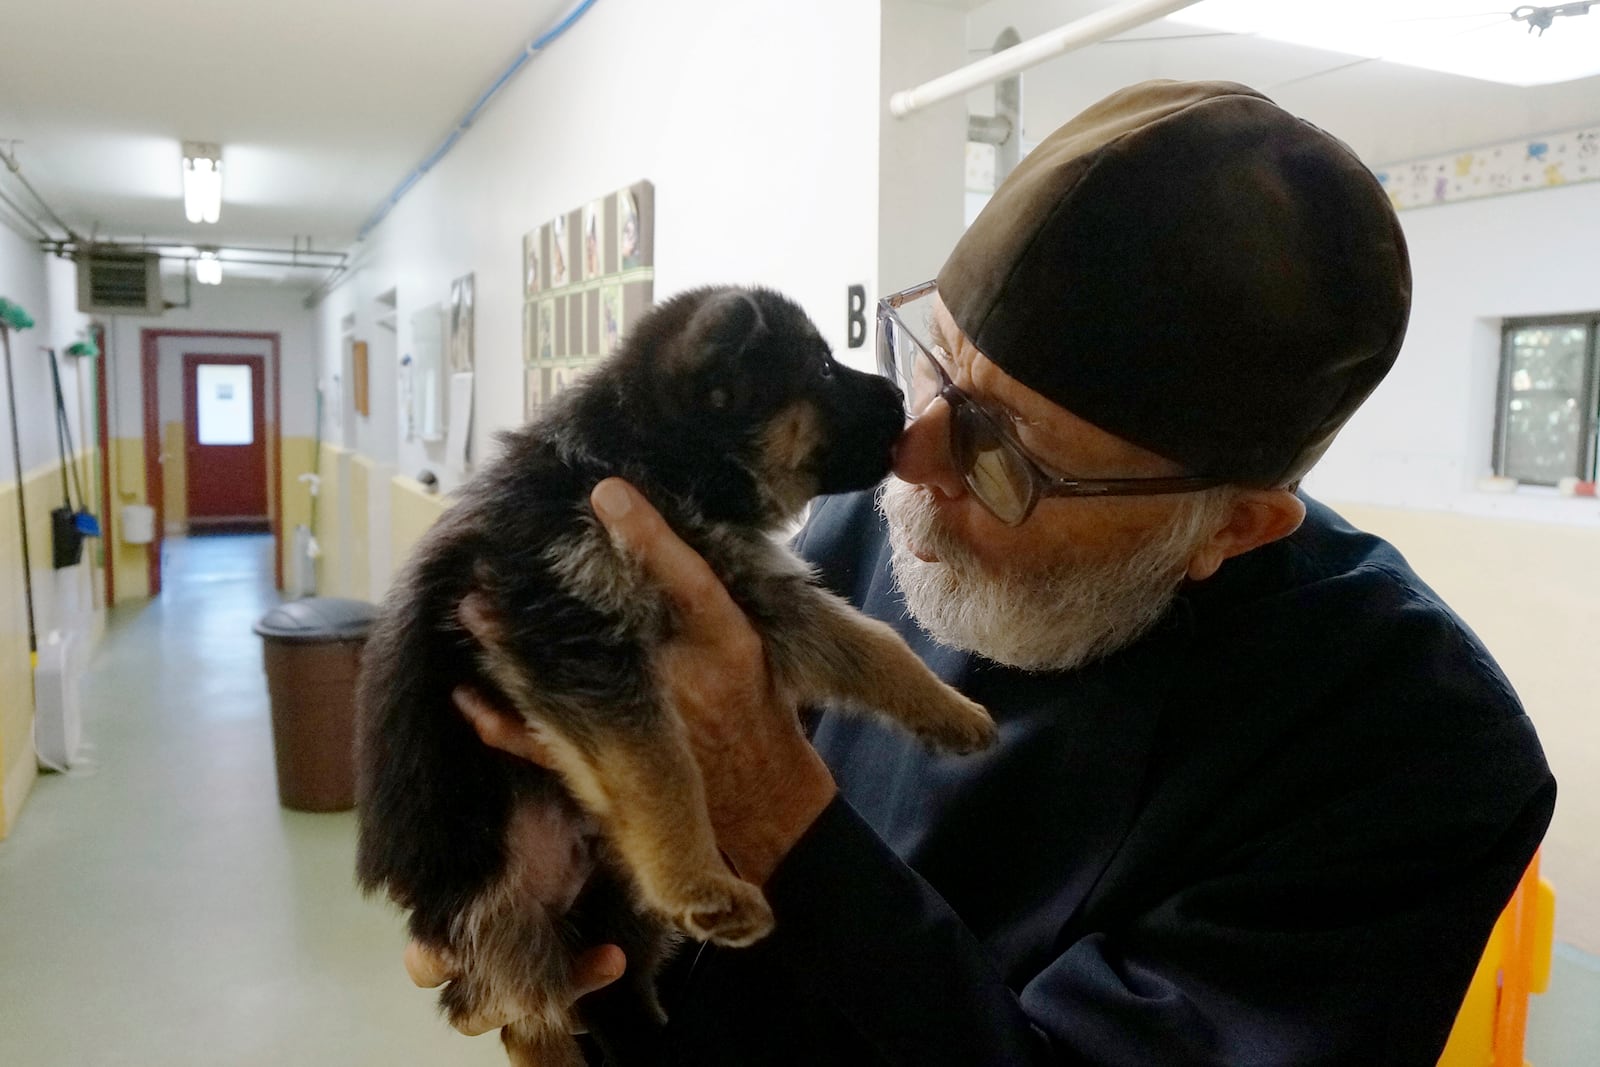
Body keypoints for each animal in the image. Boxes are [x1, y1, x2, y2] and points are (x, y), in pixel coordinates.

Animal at [356, 286, 992, 1067]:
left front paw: (951, 710)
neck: (641, 461)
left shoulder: (752, 595)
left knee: (610, 999)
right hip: (507, 918)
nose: (901, 396)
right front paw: (698, 882)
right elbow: (657, 763)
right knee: (530, 1019)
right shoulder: (573, 628)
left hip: (608, 921)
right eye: (819, 367)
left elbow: (872, 642)